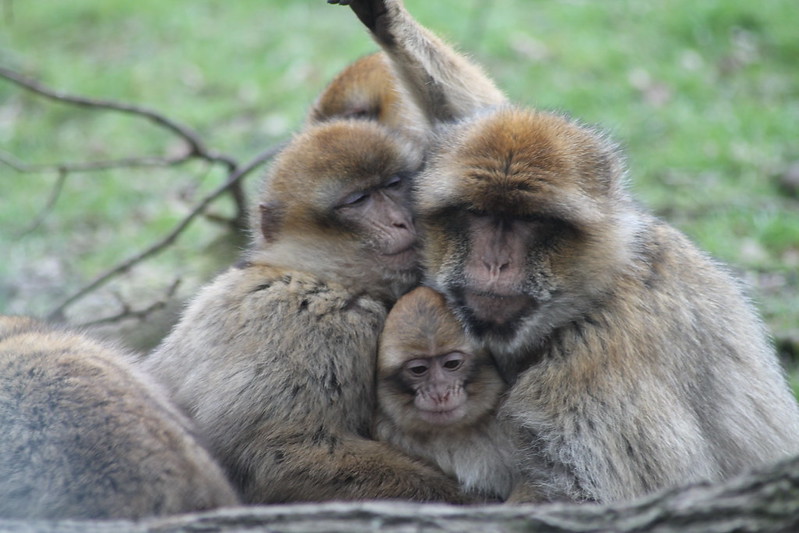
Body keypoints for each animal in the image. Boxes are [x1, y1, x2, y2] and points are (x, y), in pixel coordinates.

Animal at [140, 118, 466, 504]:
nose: (403, 221)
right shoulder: (315, 322)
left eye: (393, 184)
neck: (315, 271)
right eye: (358, 200)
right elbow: (280, 453)